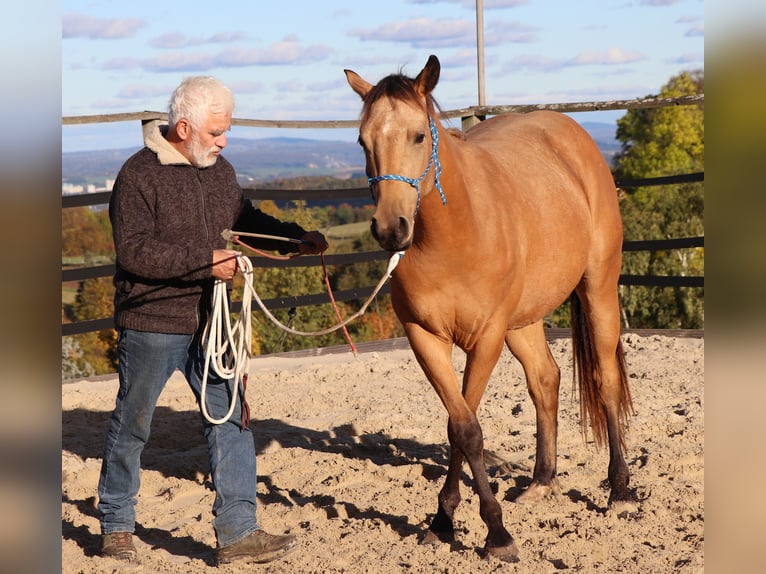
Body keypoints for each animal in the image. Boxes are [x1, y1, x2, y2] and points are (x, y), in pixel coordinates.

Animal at [344, 55, 634, 562]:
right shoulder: (426, 338)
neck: (454, 234)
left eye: (418, 135)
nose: (389, 229)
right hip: (524, 320)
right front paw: (444, 520)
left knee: (606, 378)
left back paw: (619, 489)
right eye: (364, 141)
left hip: (598, 289)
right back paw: (541, 481)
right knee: (545, 380)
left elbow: (469, 428)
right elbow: (460, 426)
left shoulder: (485, 339)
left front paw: (495, 533)